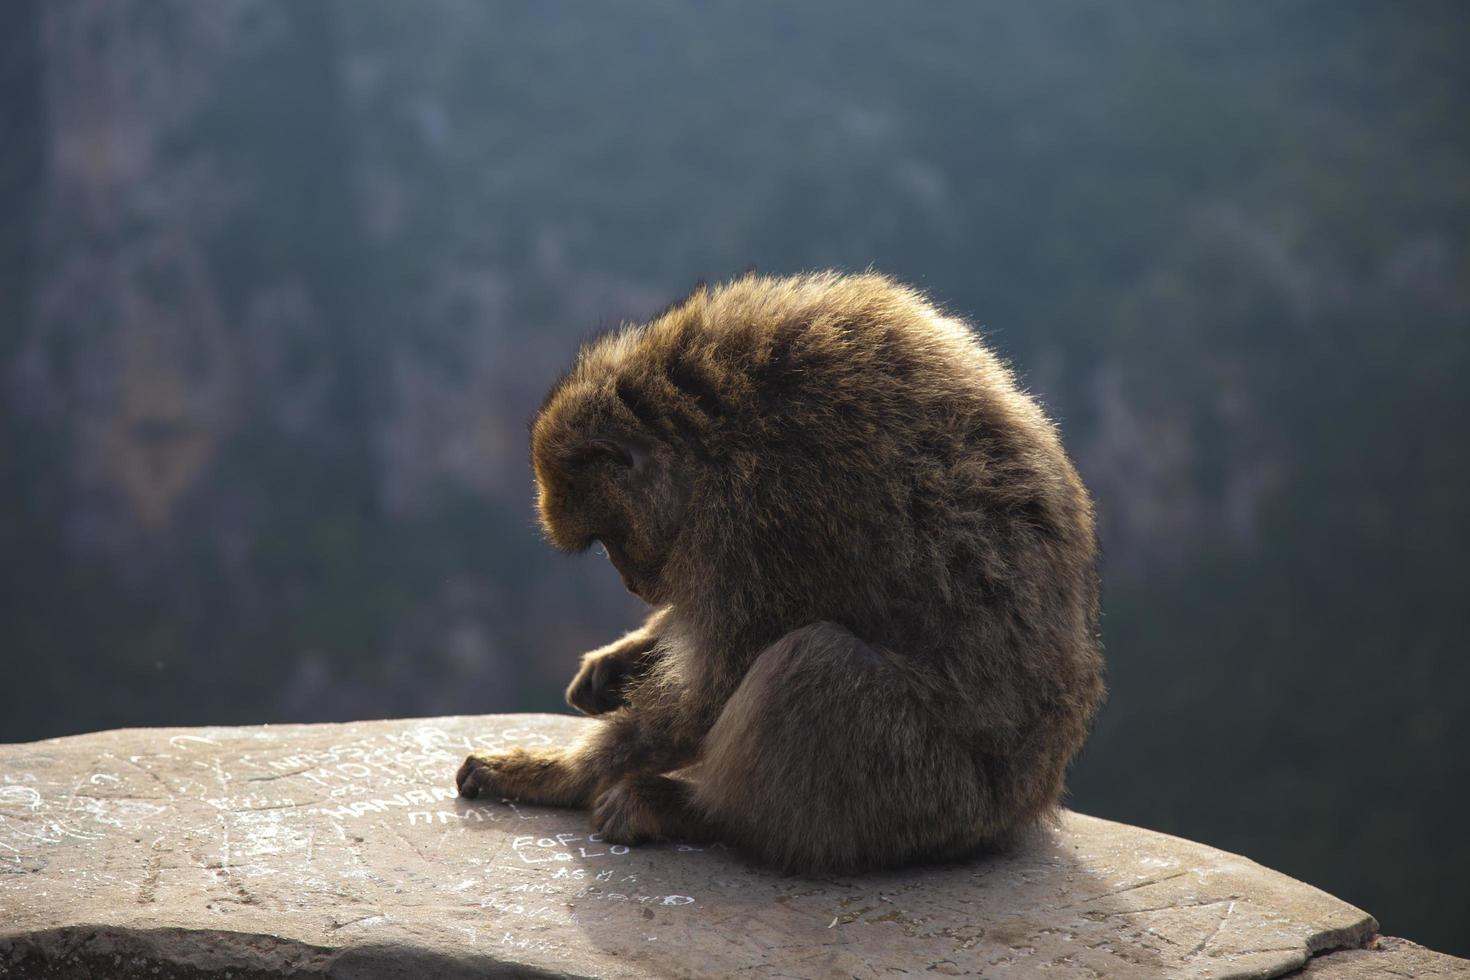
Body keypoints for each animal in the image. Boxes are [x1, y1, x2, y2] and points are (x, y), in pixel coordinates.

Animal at [458, 270, 1105, 875]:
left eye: (609, 538)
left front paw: (556, 773)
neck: (715, 431)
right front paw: (623, 659)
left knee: (815, 662)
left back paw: (698, 812)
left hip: (926, 793)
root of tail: (1030, 800)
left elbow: (715, 685)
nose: (632, 584)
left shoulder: (767, 518)